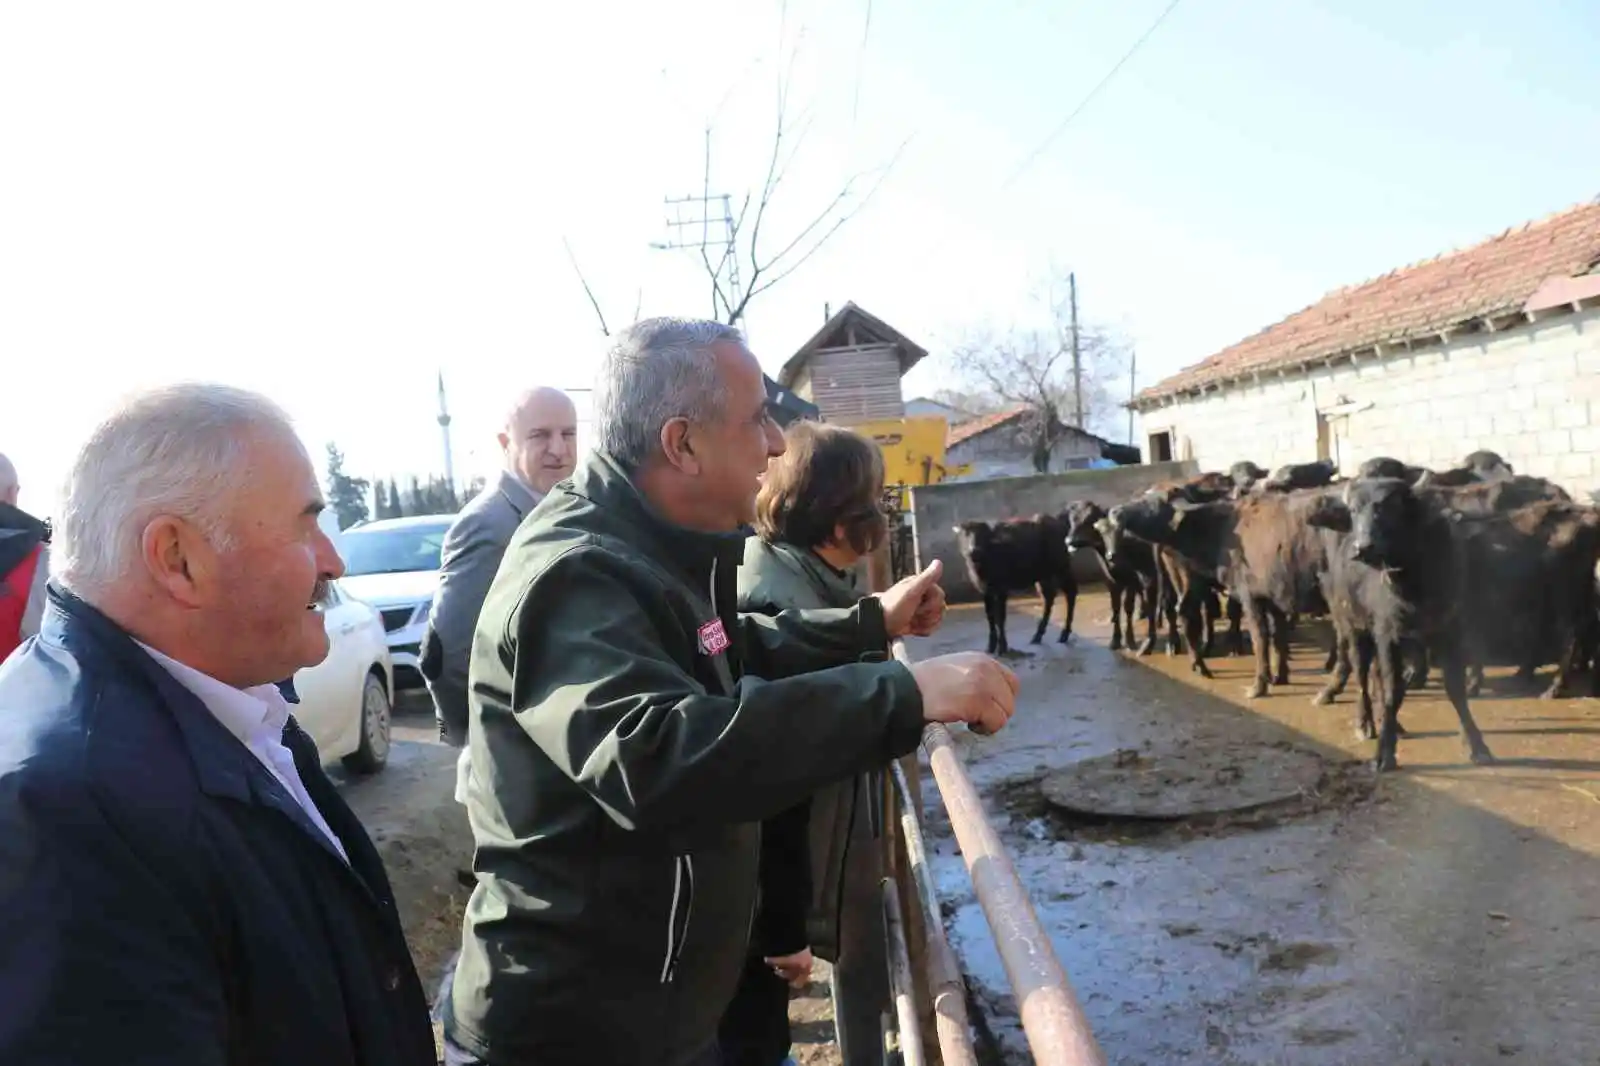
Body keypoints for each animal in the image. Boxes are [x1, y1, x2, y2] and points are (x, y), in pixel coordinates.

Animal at [953, 512, 1081, 653]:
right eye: (965, 534)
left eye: (983, 534)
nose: (974, 550)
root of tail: (1059, 523)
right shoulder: (985, 590)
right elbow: (990, 617)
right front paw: (990, 646)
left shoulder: (1002, 589)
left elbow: (1000, 617)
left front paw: (1002, 646)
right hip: (1043, 575)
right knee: (1049, 597)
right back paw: (1037, 636)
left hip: (1061, 567)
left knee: (1071, 592)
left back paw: (1064, 634)